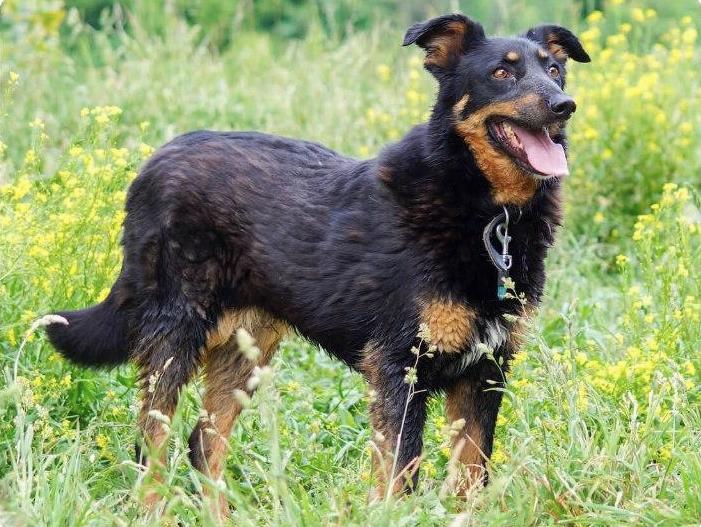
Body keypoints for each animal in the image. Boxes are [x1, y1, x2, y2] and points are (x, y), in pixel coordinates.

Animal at [46, 12, 588, 512]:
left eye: (555, 69)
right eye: (501, 72)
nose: (565, 106)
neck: (491, 215)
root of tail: (153, 163)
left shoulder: (486, 370)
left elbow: (472, 477)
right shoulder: (399, 367)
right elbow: (398, 476)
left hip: (246, 347)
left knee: (204, 442)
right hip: (174, 333)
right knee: (152, 445)